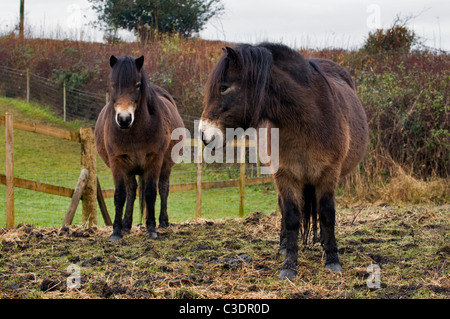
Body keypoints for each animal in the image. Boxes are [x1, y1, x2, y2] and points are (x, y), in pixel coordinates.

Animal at [95, 55, 185, 241]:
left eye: (137, 85)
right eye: (113, 85)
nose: (124, 119)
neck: (133, 133)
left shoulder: (154, 160)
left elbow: (151, 193)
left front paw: (151, 229)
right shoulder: (117, 162)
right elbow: (119, 195)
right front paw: (116, 231)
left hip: (165, 166)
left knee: (163, 188)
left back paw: (163, 222)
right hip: (129, 169)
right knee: (131, 191)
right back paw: (126, 225)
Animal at [200, 43, 370, 280]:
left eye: (224, 87)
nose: (204, 135)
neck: (308, 119)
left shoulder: (329, 174)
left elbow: (327, 214)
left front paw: (332, 259)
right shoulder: (285, 175)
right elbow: (290, 216)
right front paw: (289, 264)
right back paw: (284, 246)